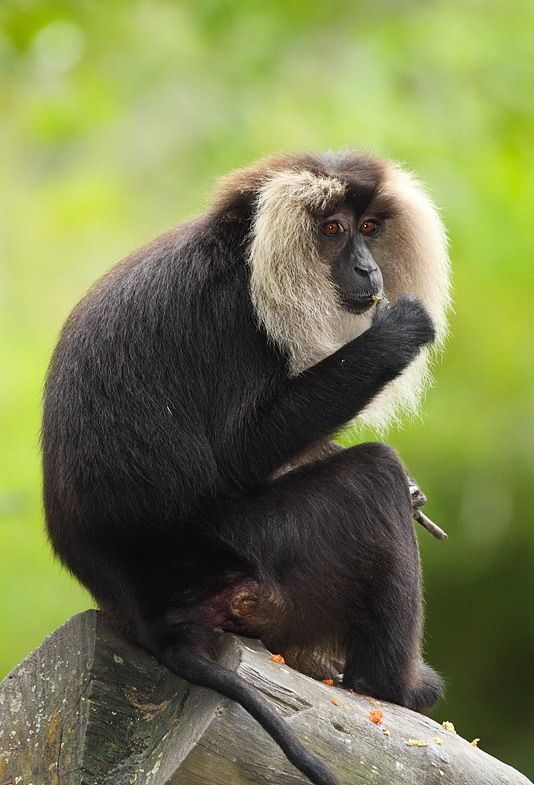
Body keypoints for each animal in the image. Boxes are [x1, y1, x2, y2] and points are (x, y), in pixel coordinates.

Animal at [42, 151, 451, 785]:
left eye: (369, 228)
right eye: (332, 229)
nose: (367, 268)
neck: (245, 260)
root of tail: (150, 611)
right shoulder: (229, 311)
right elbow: (237, 454)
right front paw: (397, 334)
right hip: (266, 563)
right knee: (370, 479)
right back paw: (391, 685)